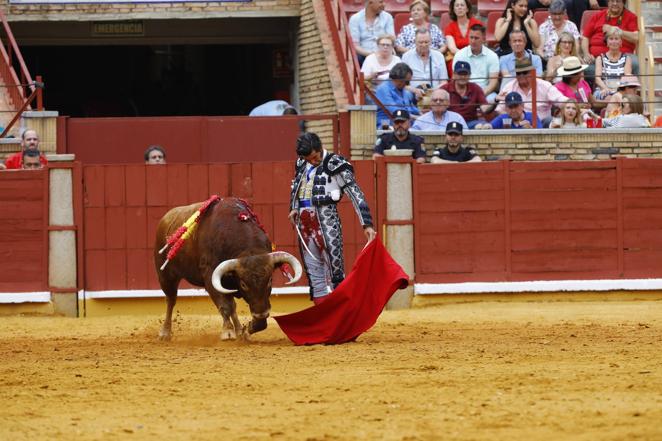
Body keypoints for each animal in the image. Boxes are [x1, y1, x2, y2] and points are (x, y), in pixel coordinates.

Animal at [154, 197, 302, 340]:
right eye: (243, 284)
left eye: (270, 280)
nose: (260, 314)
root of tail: (165, 218)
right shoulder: (210, 276)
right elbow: (224, 305)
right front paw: (228, 332)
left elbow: (236, 308)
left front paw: (248, 329)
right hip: (166, 276)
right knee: (171, 300)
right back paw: (165, 333)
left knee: (233, 307)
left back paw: (240, 331)